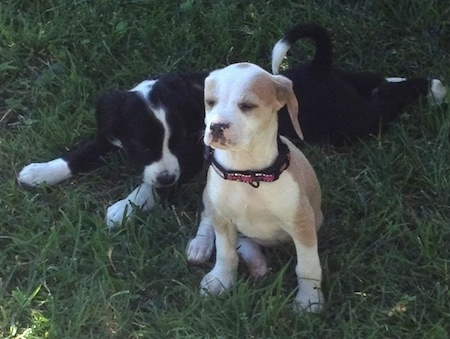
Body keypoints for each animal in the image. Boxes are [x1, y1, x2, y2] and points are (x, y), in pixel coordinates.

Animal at [17, 73, 207, 228]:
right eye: (143, 147)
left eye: (179, 143)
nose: (167, 178)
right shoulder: (110, 133)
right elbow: (79, 155)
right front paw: (40, 172)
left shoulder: (193, 156)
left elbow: (151, 188)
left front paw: (124, 209)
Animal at [193, 63, 324, 314]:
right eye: (210, 102)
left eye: (247, 106)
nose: (216, 126)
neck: (248, 175)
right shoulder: (222, 218)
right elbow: (225, 254)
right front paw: (220, 280)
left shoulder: (302, 222)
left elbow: (308, 266)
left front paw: (309, 300)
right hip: (210, 199)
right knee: (207, 217)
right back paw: (200, 245)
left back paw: (256, 262)